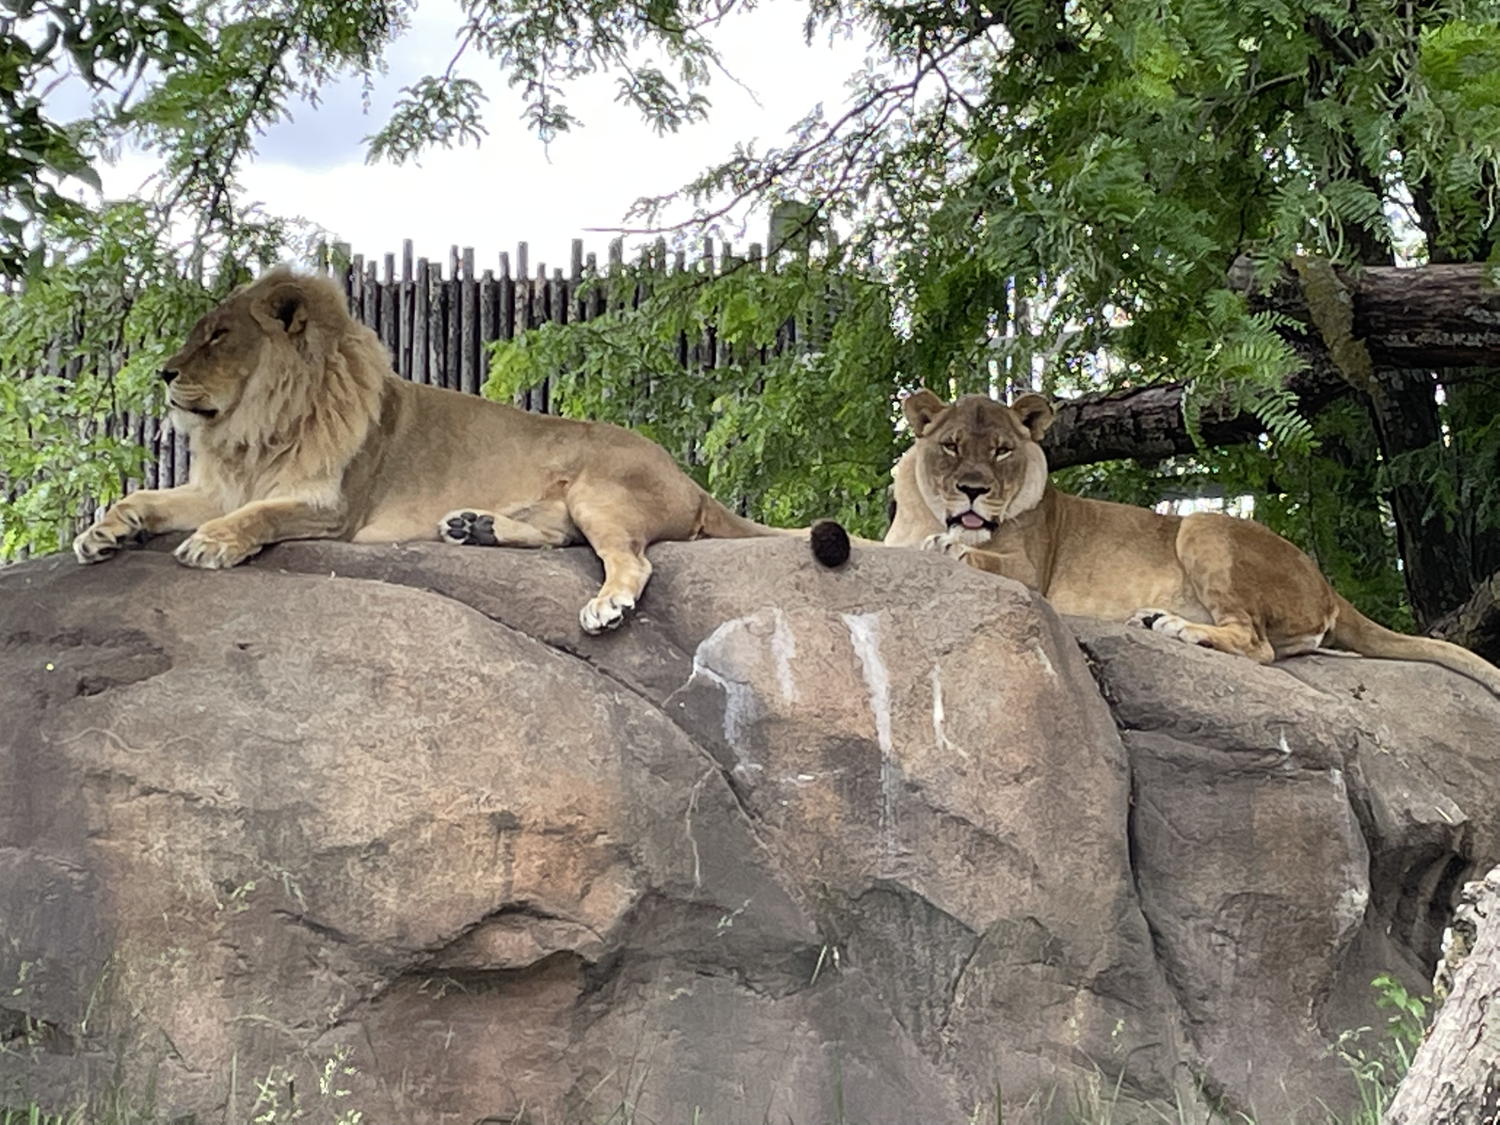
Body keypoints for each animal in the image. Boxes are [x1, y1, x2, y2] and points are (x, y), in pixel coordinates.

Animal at [73, 267, 846, 636]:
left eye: (218, 336)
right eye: (196, 333)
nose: (163, 373)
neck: (253, 429)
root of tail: (688, 478)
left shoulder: (330, 506)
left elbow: (258, 516)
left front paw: (212, 543)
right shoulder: (218, 485)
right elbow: (143, 496)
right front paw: (102, 532)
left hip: (601, 490)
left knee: (631, 561)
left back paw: (604, 606)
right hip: (571, 504)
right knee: (557, 535)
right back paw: (472, 527)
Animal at [888, 390, 1500, 696]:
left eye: (1002, 451)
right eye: (951, 445)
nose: (973, 490)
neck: (927, 511)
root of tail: (1327, 585)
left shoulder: (1031, 571)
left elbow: (974, 554)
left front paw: (946, 547)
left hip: (1202, 525)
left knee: (1257, 644)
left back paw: (1174, 627)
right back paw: (1156, 619)